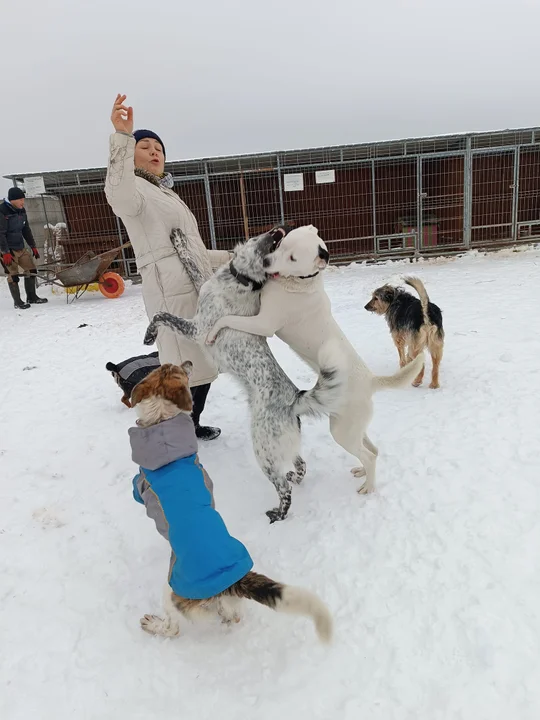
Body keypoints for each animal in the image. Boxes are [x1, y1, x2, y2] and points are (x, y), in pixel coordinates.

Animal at [130, 362, 334, 644]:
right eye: (170, 368)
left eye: (178, 369)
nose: (190, 362)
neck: (162, 420)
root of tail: (232, 582)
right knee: (232, 616)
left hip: (170, 591)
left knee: (173, 627)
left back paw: (153, 624)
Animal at [143, 226, 346, 524]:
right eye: (279, 244)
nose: (279, 229)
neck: (241, 278)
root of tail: (295, 399)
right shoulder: (203, 286)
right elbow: (191, 262)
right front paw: (178, 239)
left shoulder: (196, 328)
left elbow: (161, 314)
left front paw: (149, 335)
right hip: (282, 445)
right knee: (301, 464)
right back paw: (295, 477)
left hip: (263, 447)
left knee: (284, 490)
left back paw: (278, 514)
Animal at [207, 225, 422, 496]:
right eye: (282, 245)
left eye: (292, 258)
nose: (266, 262)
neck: (297, 283)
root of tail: (371, 380)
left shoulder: (263, 323)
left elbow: (227, 319)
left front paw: (212, 332)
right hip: (352, 427)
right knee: (372, 450)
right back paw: (362, 472)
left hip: (342, 431)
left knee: (370, 455)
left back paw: (368, 487)